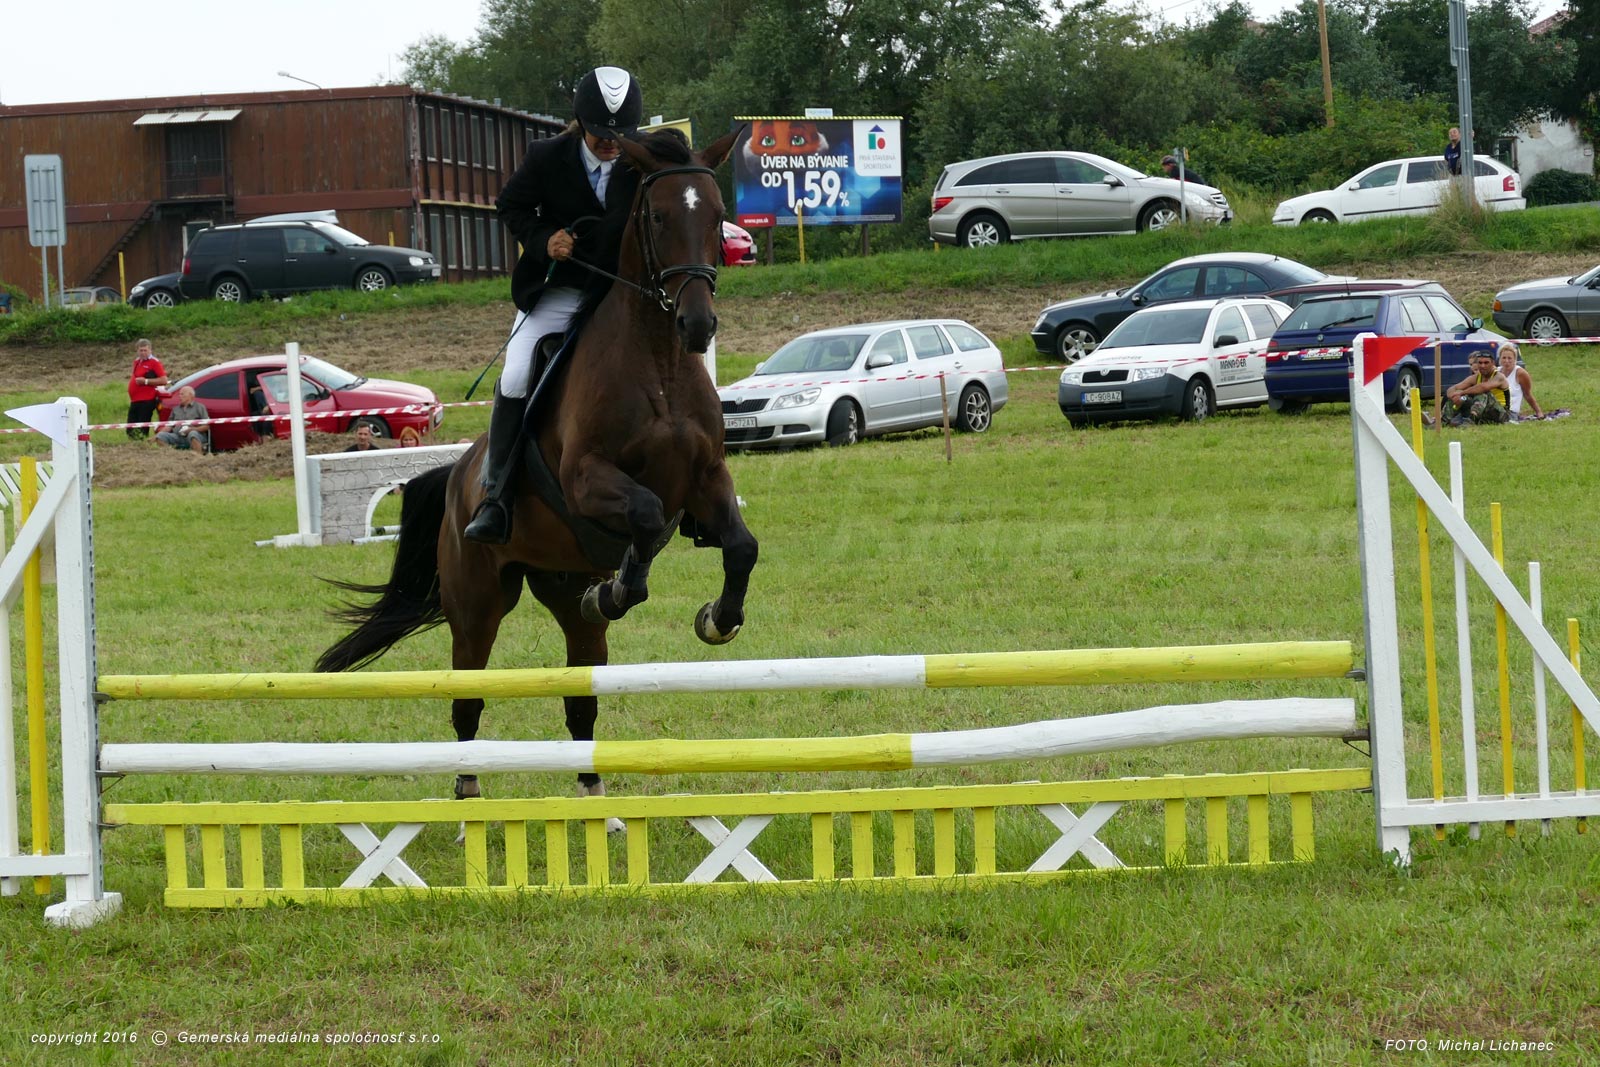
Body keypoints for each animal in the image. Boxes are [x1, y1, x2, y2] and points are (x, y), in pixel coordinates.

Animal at [315, 129, 757, 808]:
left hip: (560, 588)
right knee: (467, 700)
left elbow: (740, 545)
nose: (697, 324)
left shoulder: (706, 478)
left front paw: (719, 618)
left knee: (581, 699)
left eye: (716, 217)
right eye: (658, 217)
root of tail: (458, 477)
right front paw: (621, 588)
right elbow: (646, 514)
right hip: (476, 603)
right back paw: (469, 793)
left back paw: (596, 797)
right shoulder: (586, 480)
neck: (658, 363)